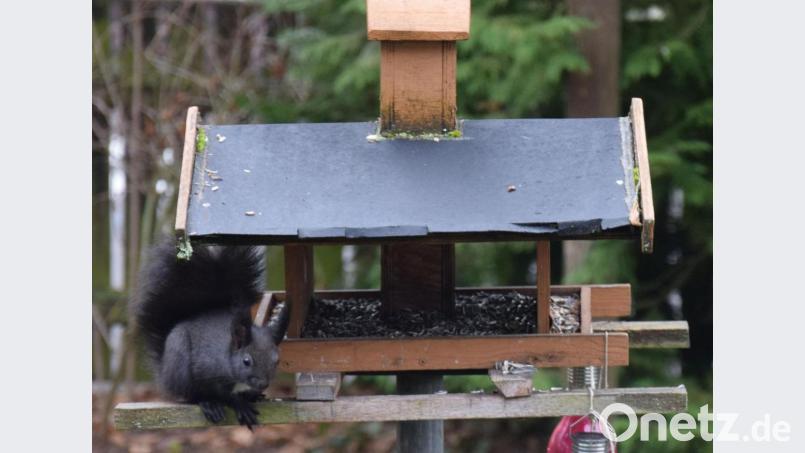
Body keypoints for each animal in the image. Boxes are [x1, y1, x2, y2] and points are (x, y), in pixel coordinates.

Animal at [134, 240, 289, 430]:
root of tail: (163, 372)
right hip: (181, 368)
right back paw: (209, 404)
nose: (263, 384)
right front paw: (240, 405)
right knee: (192, 396)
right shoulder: (208, 370)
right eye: (246, 361)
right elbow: (223, 396)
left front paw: (254, 396)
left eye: (277, 360)